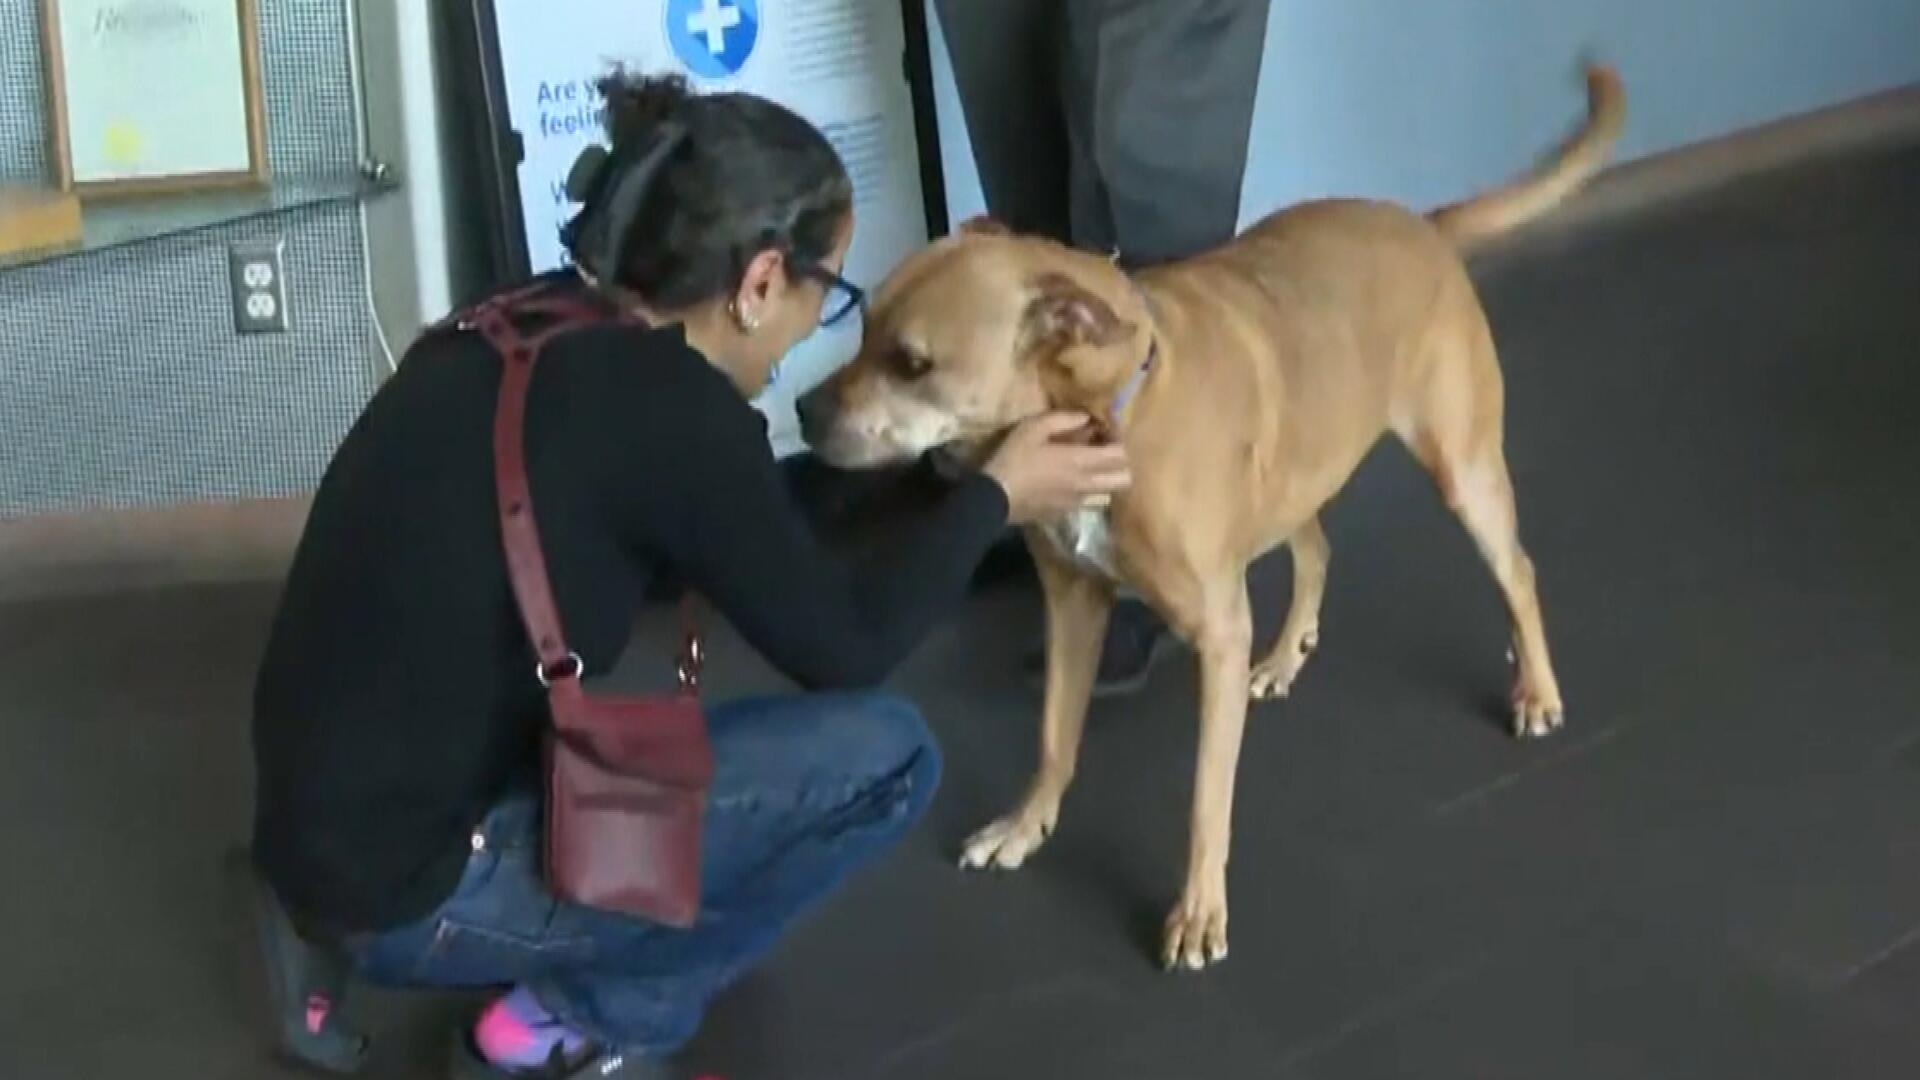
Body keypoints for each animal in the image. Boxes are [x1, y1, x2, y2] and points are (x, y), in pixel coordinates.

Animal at [794, 65, 1620, 968]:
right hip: (1291, 477)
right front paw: (1026, 823)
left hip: (1462, 470)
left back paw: (1536, 690)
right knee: (1317, 549)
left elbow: (1204, 799)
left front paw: (1197, 911)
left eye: (912, 363)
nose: (799, 412)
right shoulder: (1073, 604)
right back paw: (1287, 655)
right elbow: (1054, 736)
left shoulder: (1214, 635)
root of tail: (1423, 224)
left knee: (1517, 572)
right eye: (859, 325)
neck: (1104, 412)